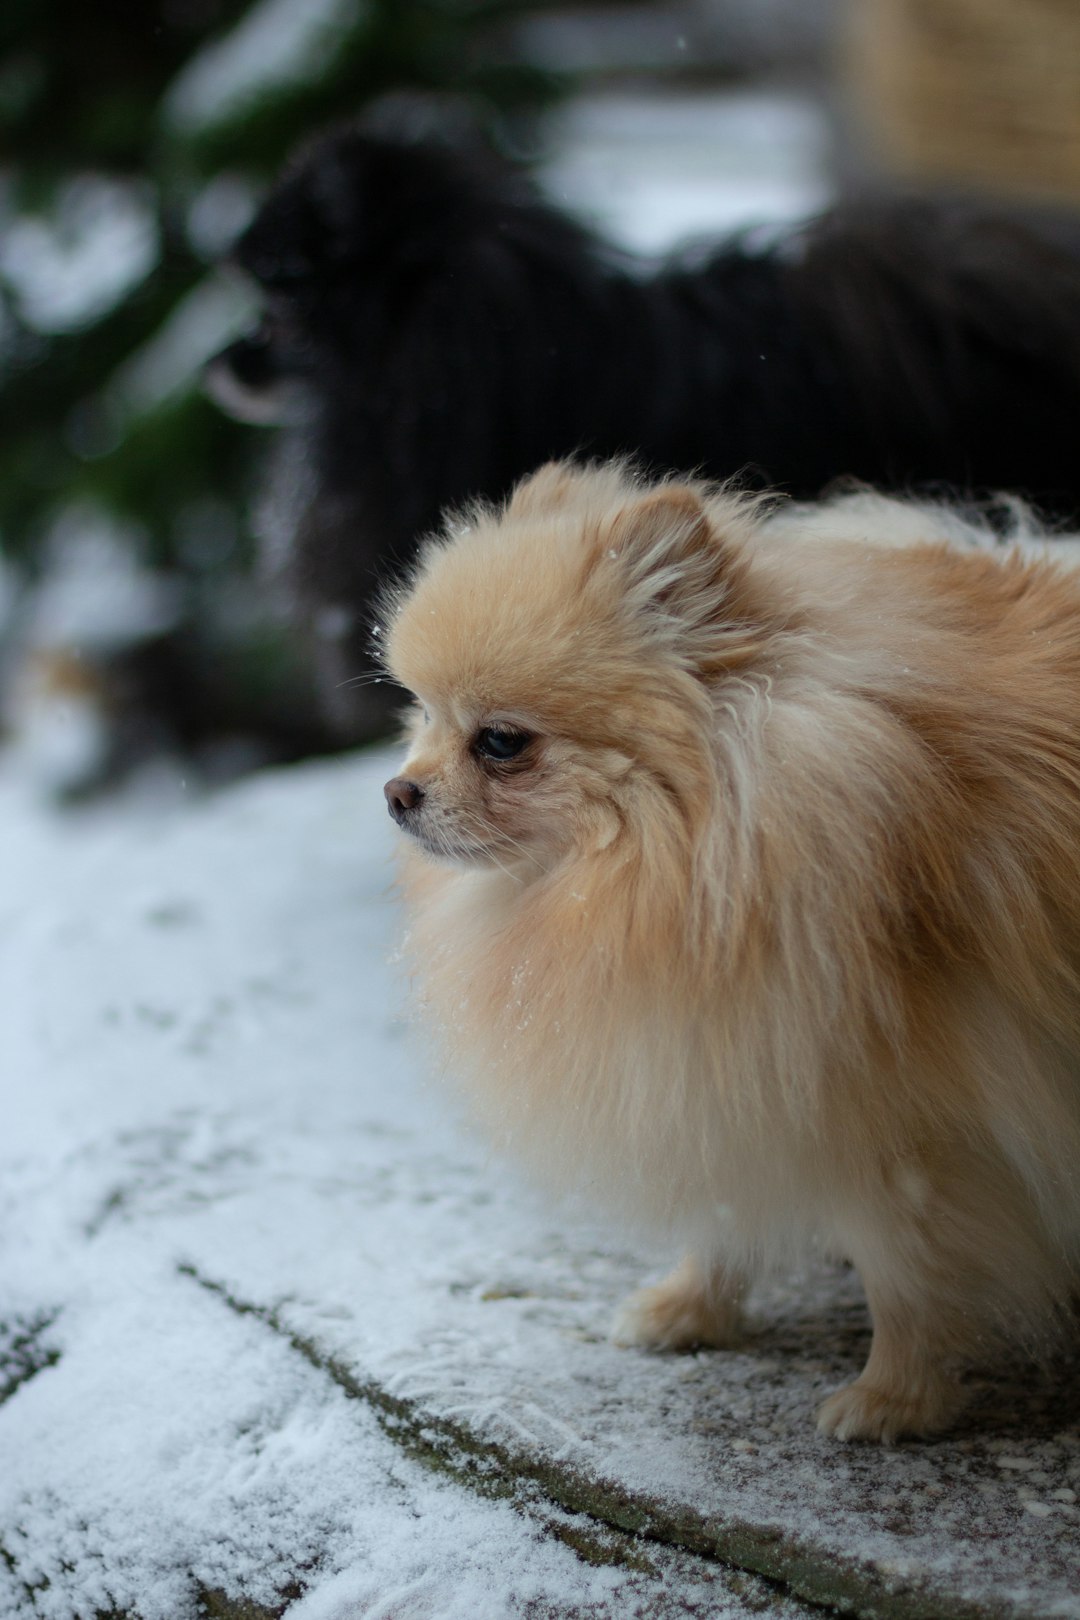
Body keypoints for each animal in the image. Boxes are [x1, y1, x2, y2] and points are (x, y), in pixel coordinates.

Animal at [380, 460, 1080, 1445]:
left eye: (501, 743)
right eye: (422, 715)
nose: (398, 791)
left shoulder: (905, 1121)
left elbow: (908, 1271)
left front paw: (894, 1398)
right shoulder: (717, 1067)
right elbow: (721, 1209)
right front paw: (691, 1307)